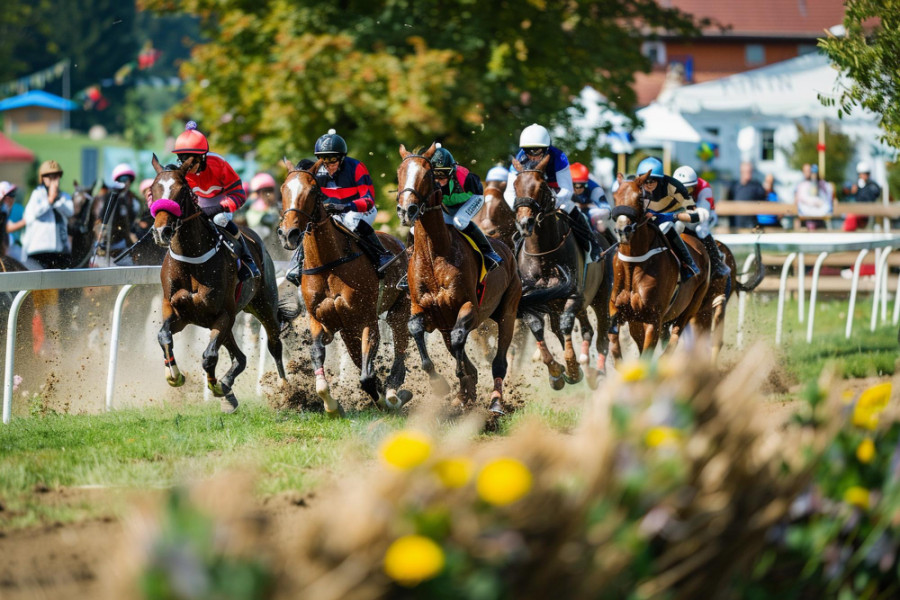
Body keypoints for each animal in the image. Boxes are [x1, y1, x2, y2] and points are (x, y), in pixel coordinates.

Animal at [149, 155, 298, 412]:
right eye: (153, 190)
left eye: (182, 190)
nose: (161, 231)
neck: (191, 259)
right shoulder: (178, 311)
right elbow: (164, 336)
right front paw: (175, 375)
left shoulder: (223, 314)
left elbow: (209, 356)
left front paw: (216, 386)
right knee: (240, 357)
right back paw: (228, 389)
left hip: (264, 305)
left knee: (274, 344)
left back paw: (284, 389)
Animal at [276, 159, 414, 418]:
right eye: (283, 189)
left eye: (313, 190)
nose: (289, 233)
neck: (329, 263)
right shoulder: (319, 319)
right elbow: (317, 355)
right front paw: (331, 405)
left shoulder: (367, 319)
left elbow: (367, 376)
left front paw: (383, 401)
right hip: (349, 330)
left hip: (399, 310)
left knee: (400, 347)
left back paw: (394, 392)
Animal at [398, 144, 568, 414]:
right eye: (400, 172)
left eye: (426, 175)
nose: (406, 210)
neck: (435, 255)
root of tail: (509, 250)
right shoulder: (422, 308)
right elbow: (416, 329)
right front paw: (443, 385)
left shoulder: (470, 308)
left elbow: (461, 340)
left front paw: (460, 380)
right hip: (447, 322)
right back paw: (463, 394)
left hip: (507, 313)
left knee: (499, 361)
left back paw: (496, 401)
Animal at [512, 156, 612, 390]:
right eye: (514, 185)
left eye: (541, 186)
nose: (524, 223)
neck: (543, 256)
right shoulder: (530, 300)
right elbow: (538, 328)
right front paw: (556, 372)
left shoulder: (574, 295)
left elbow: (567, 324)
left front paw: (573, 368)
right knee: (574, 329)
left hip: (600, 296)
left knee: (601, 336)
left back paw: (598, 373)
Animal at [608, 173, 712, 360]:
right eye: (614, 196)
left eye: (639, 198)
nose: (623, 230)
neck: (633, 263)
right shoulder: (619, 310)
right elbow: (614, 345)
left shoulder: (653, 320)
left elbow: (693, 211)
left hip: (691, 307)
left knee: (674, 338)